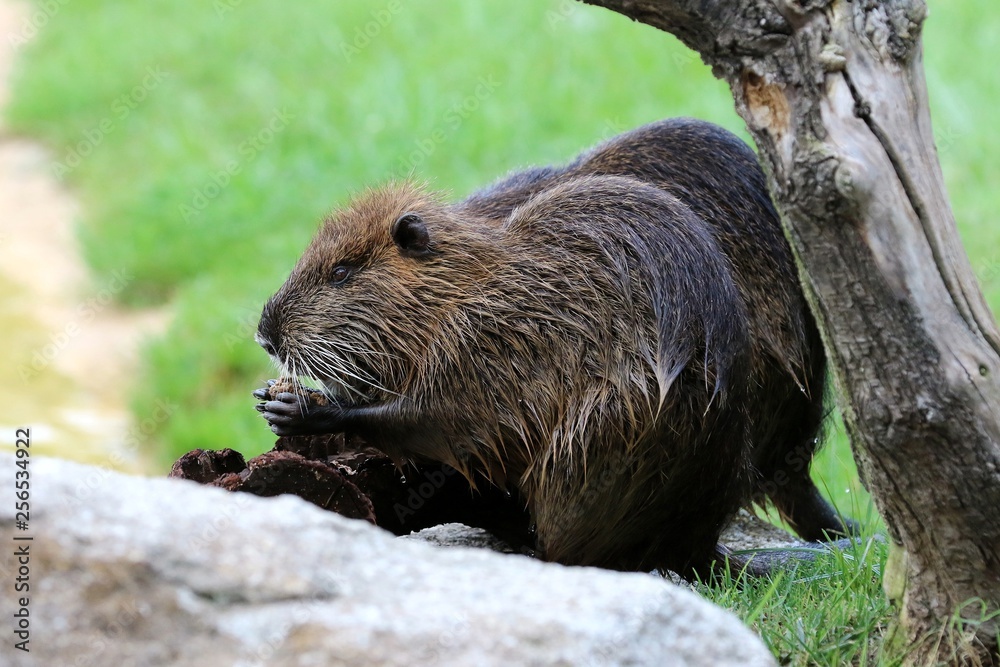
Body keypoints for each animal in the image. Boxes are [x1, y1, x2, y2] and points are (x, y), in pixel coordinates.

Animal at [254, 118, 853, 575]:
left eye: (342, 272)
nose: (265, 331)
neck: (479, 282)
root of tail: (703, 551)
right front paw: (275, 398)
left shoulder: (493, 342)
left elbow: (438, 420)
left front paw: (304, 409)